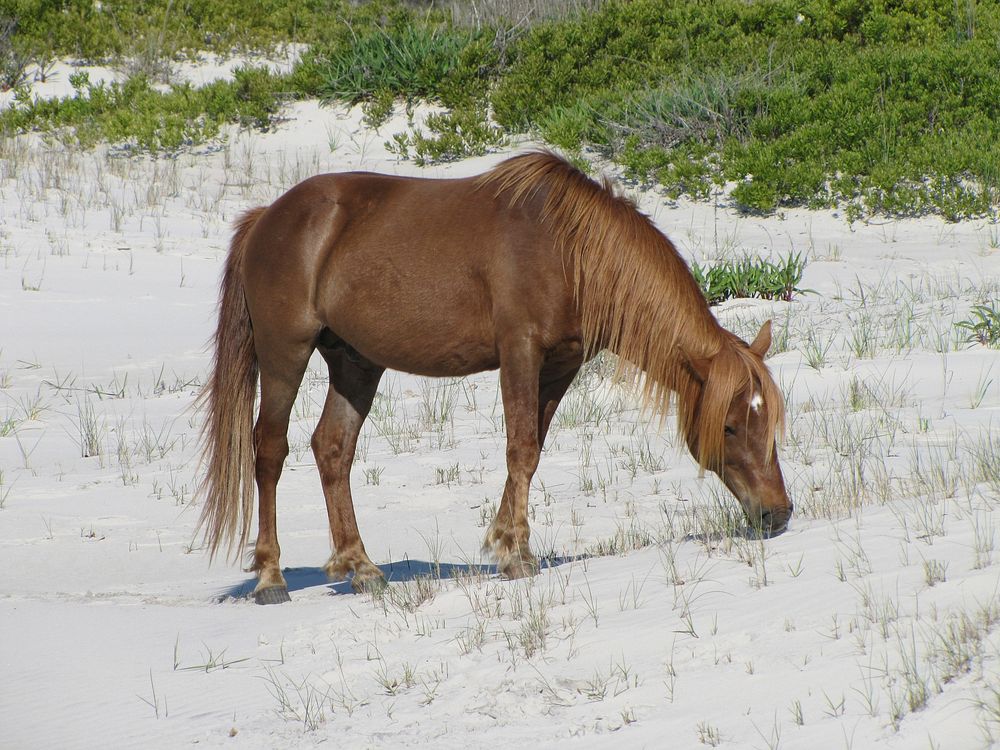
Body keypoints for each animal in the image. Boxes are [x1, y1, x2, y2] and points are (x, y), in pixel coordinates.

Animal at [195, 151, 788, 604]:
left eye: (770, 426)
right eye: (730, 426)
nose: (778, 515)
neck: (568, 249)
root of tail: (268, 216)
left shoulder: (561, 365)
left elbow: (533, 450)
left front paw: (507, 543)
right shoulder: (520, 352)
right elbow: (520, 449)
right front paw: (516, 555)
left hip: (355, 362)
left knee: (333, 449)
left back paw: (361, 568)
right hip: (285, 356)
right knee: (269, 450)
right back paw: (270, 578)